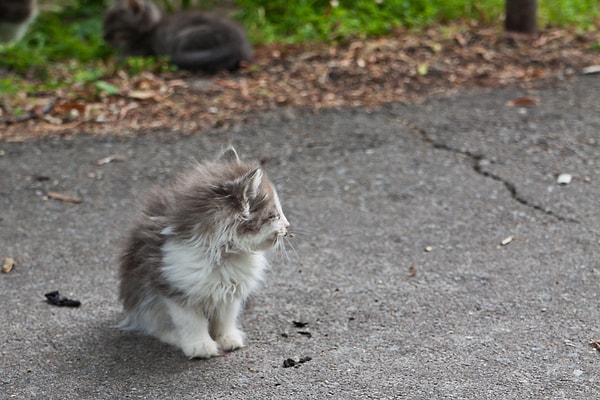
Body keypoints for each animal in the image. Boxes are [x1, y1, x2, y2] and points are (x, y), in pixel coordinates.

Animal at [103, 0, 253, 73]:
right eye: (105, 23)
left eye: (113, 26)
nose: (104, 37)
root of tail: (238, 43)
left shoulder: (140, 52)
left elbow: (123, 57)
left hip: (187, 37)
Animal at [119, 147, 288, 360]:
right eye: (274, 216)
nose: (287, 227)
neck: (225, 255)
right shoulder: (177, 290)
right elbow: (192, 323)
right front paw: (200, 346)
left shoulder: (230, 291)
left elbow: (225, 318)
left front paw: (228, 339)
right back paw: (173, 336)